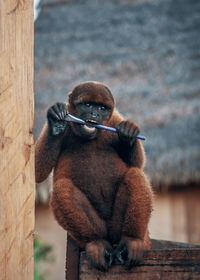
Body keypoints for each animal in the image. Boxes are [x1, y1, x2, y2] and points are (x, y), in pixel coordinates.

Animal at [34, 80, 153, 272]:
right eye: (88, 105)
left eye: (102, 108)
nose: (94, 114)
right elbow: (38, 171)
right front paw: (56, 122)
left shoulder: (115, 120)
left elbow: (137, 164)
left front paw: (128, 134)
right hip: (100, 228)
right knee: (62, 187)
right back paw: (96, 243)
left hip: (118, 227)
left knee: (134, 173)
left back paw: (131, 240)